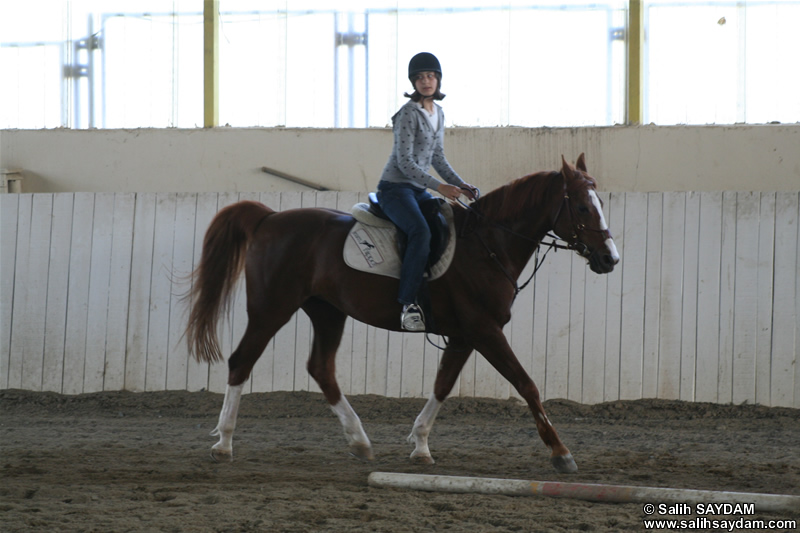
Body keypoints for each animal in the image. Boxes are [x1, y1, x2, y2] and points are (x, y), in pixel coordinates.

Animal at [186, 152, 620, 472]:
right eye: (583, 207)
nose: (610, 259)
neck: (487, 244)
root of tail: (270, 218)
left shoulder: (464, 334)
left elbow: (443, 385)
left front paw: (421, 445)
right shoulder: (485, 330)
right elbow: (527, 384)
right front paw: (561, 453)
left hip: (327, 312)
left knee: (321, 369)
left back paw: (360, 442)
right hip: (271, 307)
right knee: (242, 361)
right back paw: (224, 443)